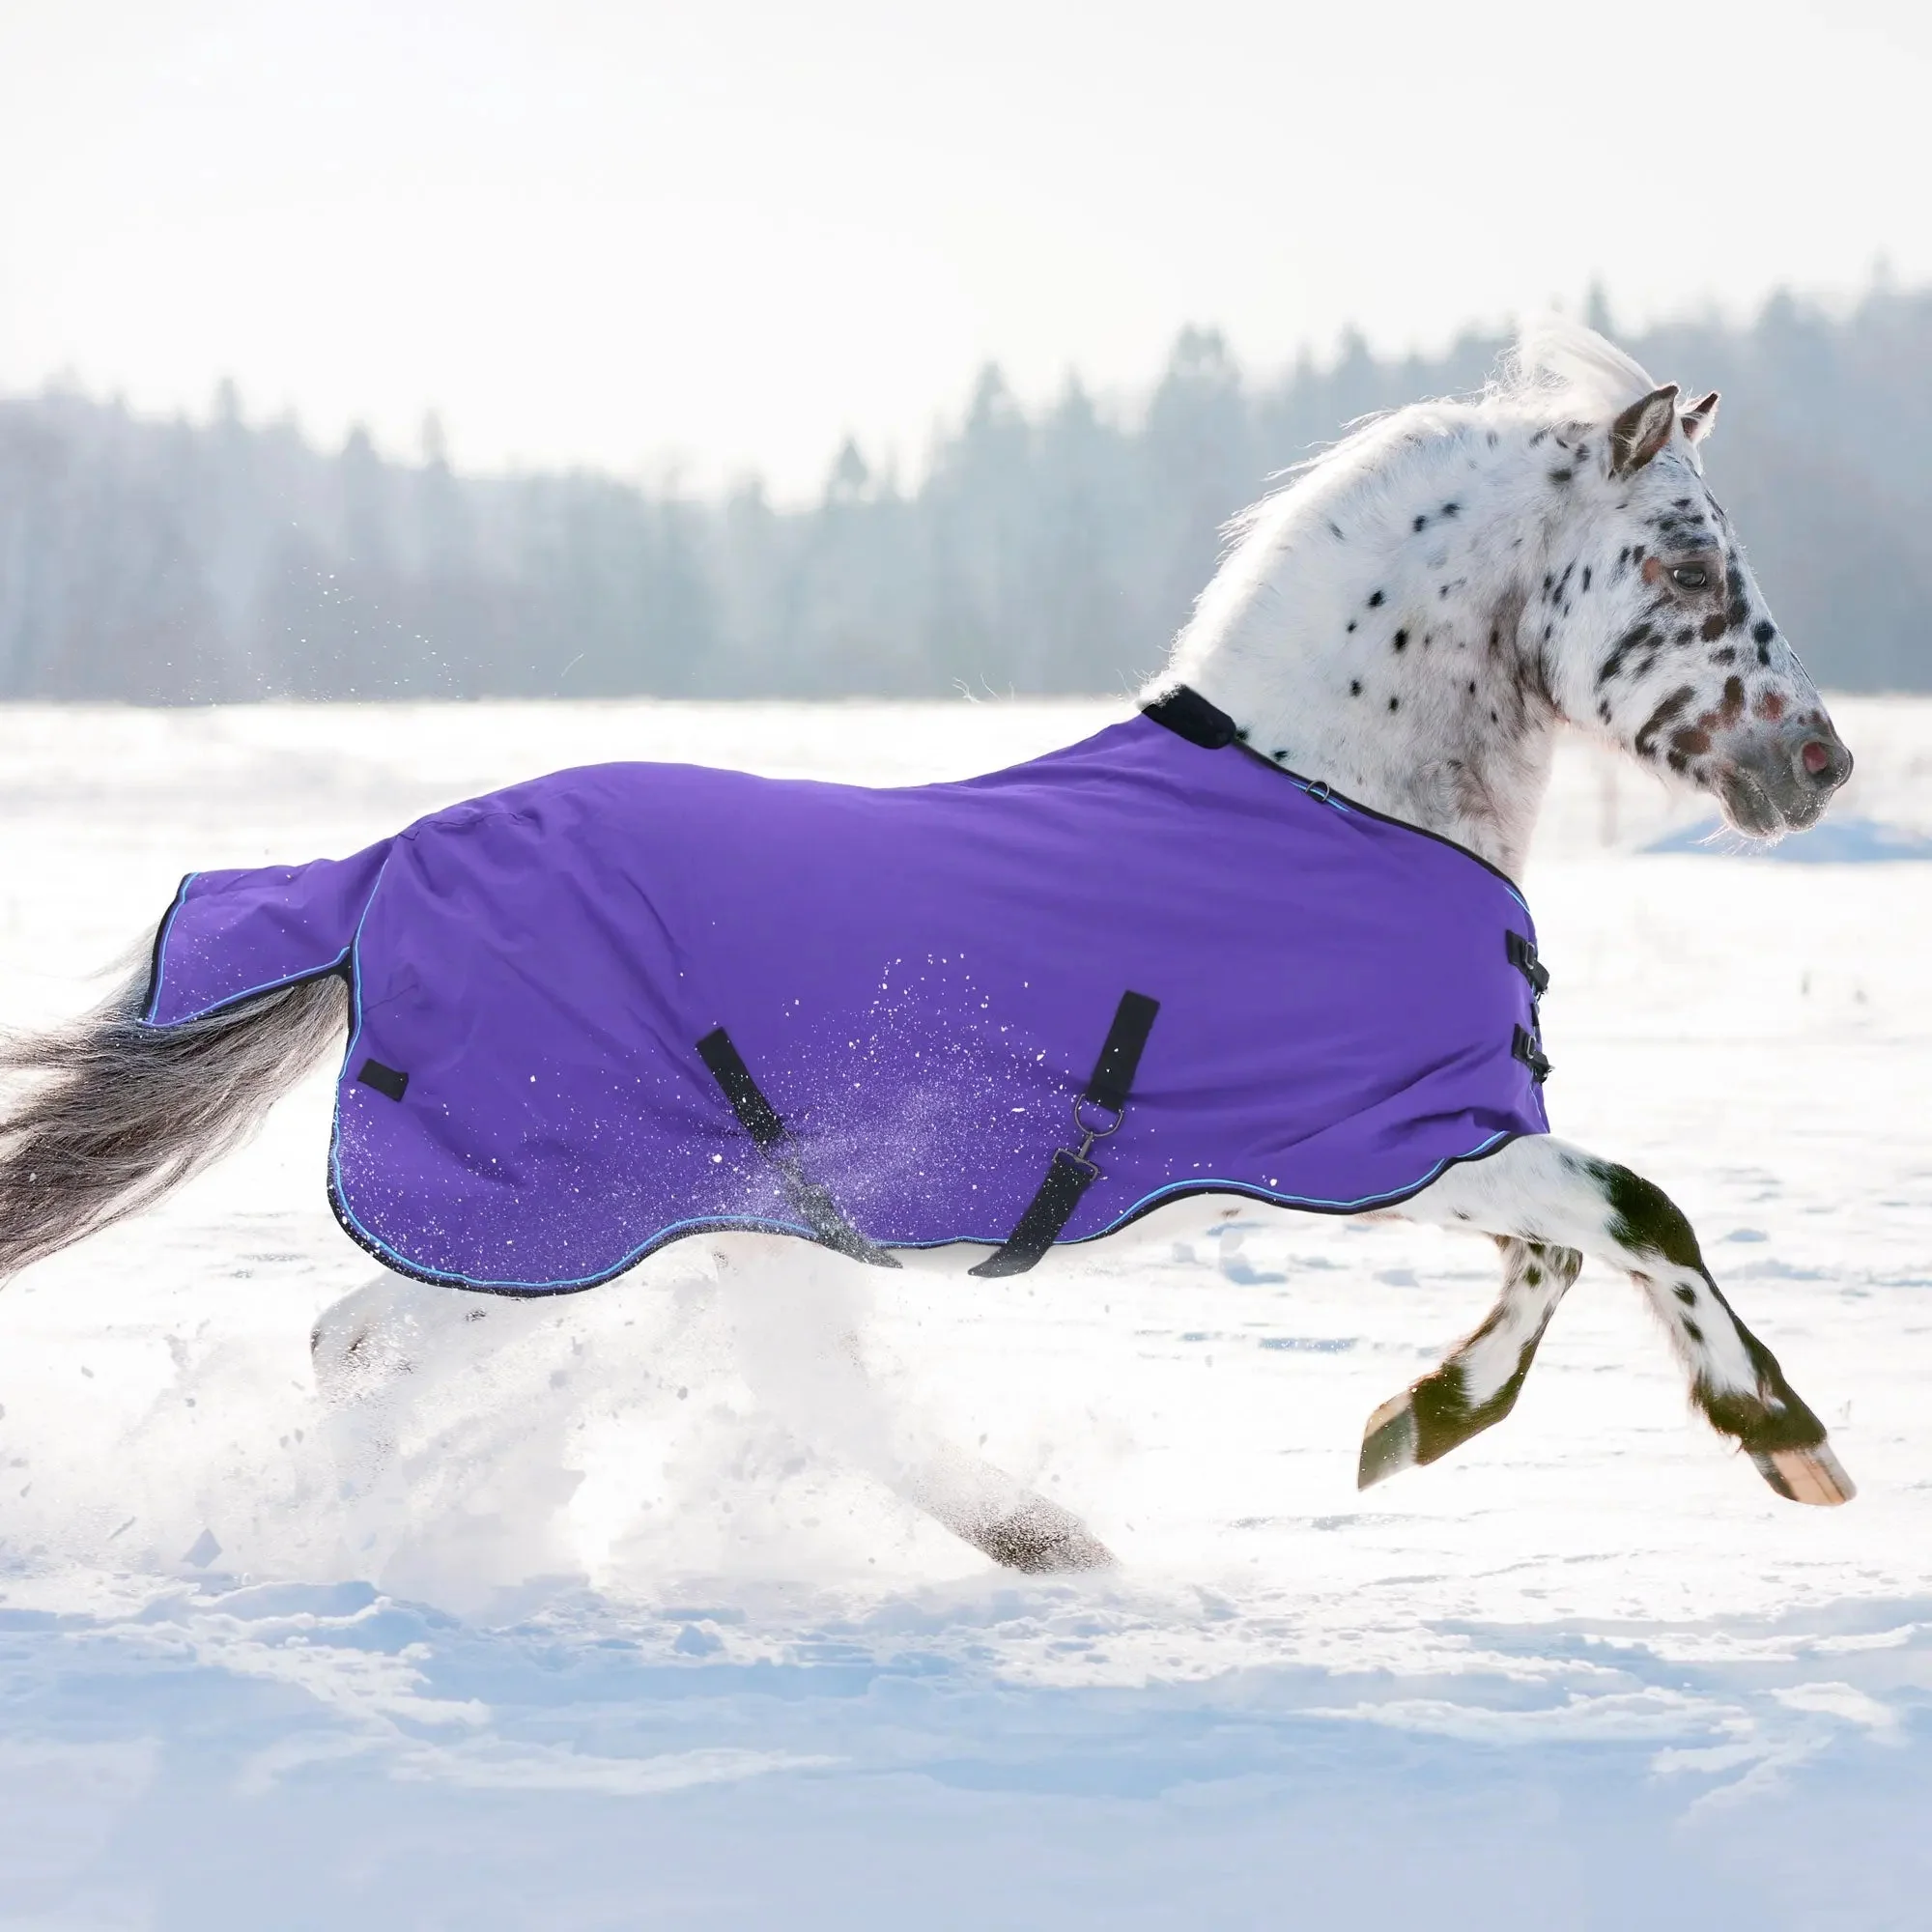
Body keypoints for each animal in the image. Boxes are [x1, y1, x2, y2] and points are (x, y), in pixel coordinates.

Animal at [0, 321, 1857, 1576]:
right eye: (1686, 563)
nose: (1821, 766)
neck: (1335, 800)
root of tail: (384, 869)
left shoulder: (1418, 1146)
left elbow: (1564, 1251)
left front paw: (1412, 1426)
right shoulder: (1380, 1142)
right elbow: (1638, 1213)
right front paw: (1787, 1443)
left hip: (698, 1223)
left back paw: (1051, 1548)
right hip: (557, 1224)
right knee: (375, 1355)